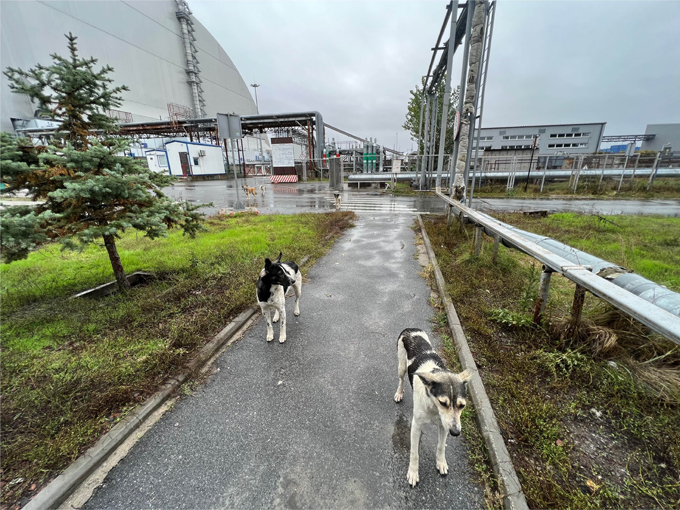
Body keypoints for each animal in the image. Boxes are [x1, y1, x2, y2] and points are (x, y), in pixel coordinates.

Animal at [394, 328, 472, 488]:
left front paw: (441, 462)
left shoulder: (444, 426)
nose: (456, 433)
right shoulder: (416, 426)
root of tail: (410, 329)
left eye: (462, 405)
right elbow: (414, 453)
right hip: (402, 366)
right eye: (443, 403)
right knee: (401, 379)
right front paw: (413, 473)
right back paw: (399, 393)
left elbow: (441, 446)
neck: (434, 407)